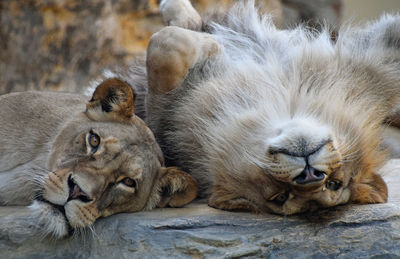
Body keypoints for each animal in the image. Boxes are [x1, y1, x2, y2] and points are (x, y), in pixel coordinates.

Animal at [144, 0, 400, 215]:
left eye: (333, 184)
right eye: (281, 197)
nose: (310, 175)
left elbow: (163, 49)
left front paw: (210, 44)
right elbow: (168, 50)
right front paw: (208, 41)